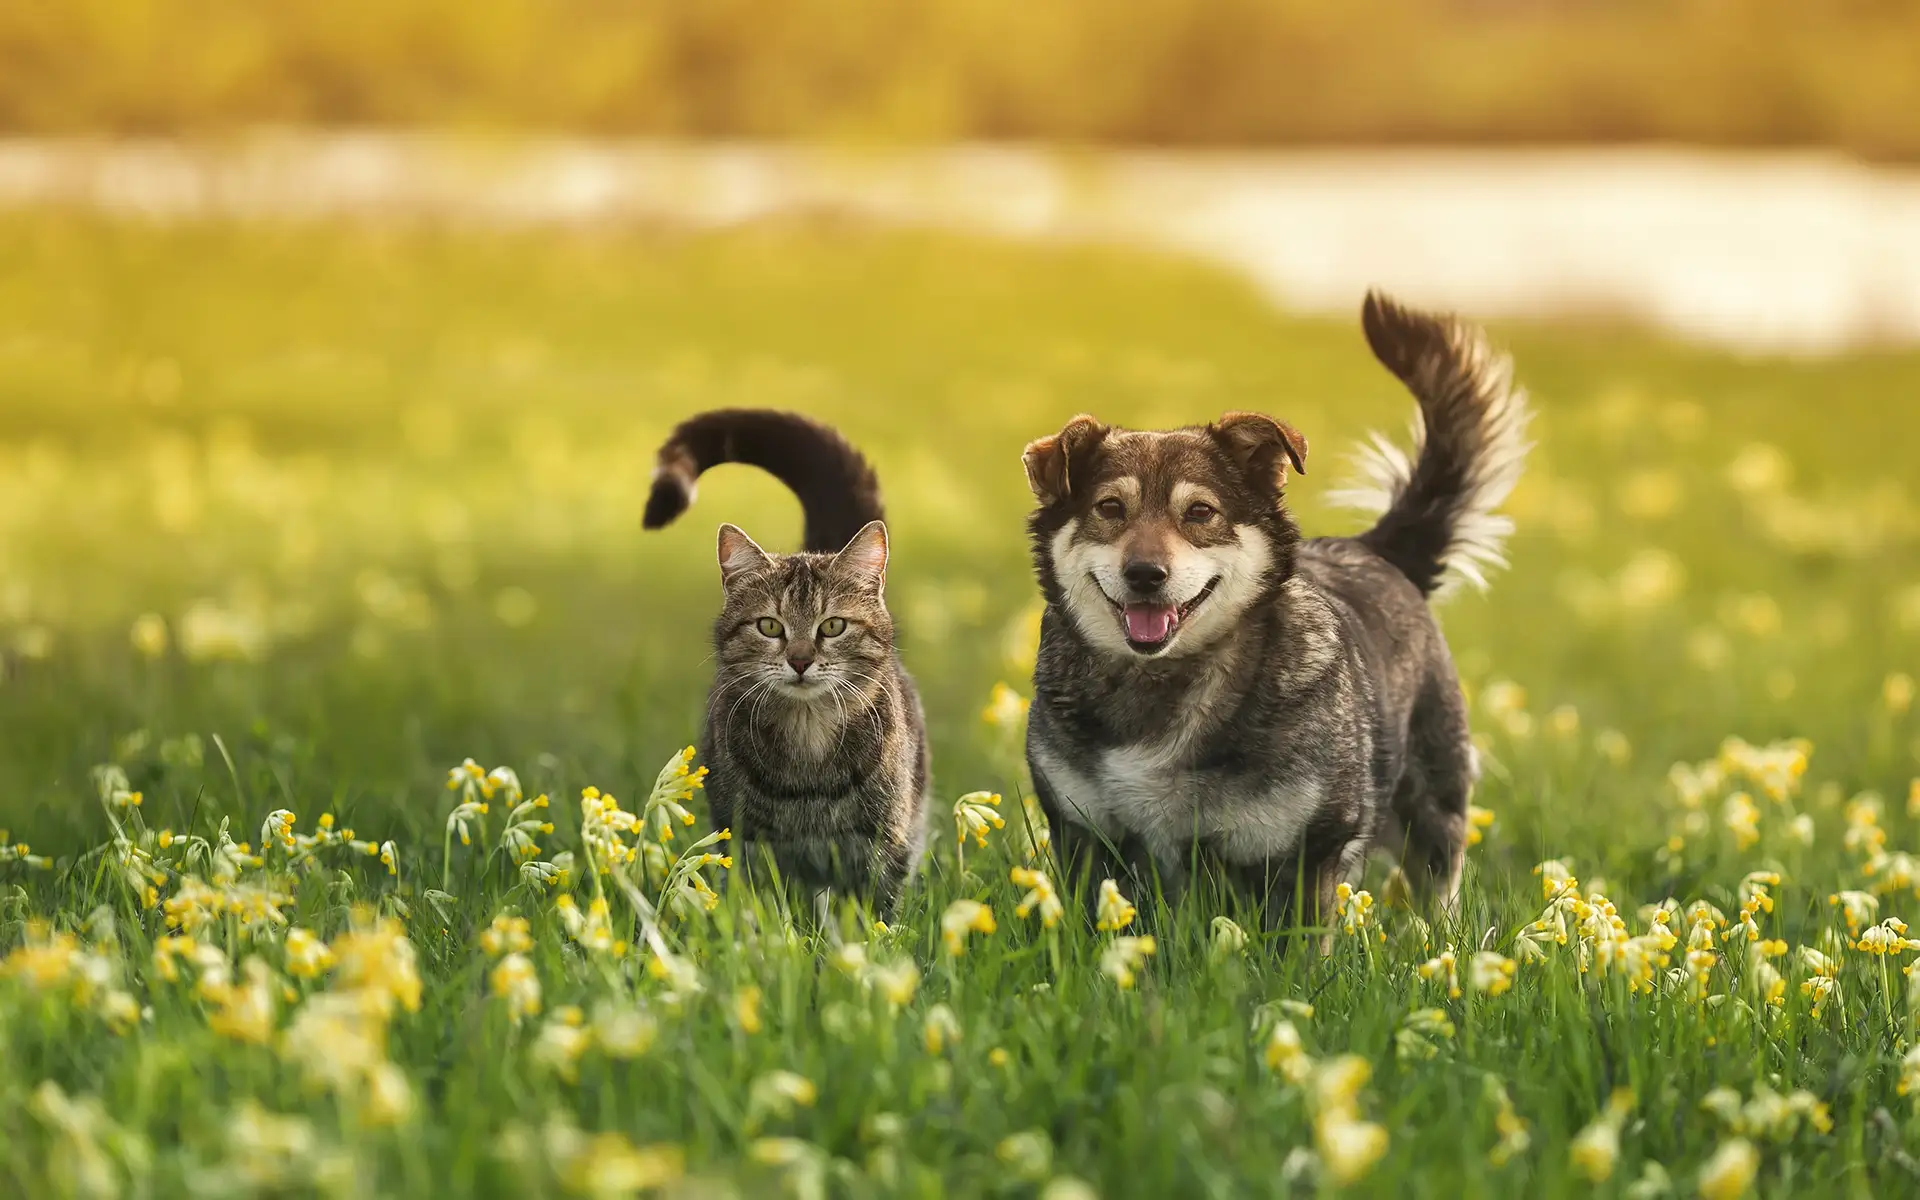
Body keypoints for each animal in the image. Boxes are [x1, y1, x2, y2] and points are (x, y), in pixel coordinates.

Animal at [1021, 289, 1528, 925]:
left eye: (1201, 512)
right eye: (1110, 508)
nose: (1145, 575)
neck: (1161, 682)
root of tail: (1375, 548)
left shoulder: (1305, 855)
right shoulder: (1084, 837)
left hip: (1433, 811)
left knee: (1438, 891)